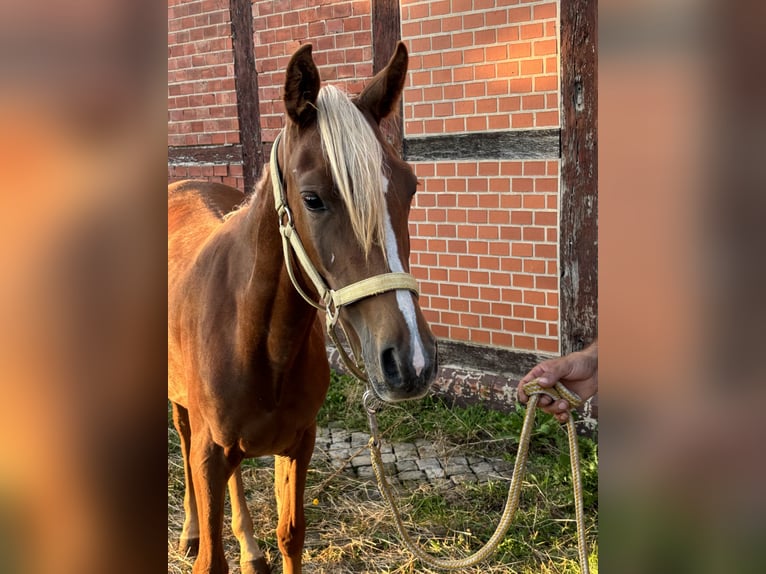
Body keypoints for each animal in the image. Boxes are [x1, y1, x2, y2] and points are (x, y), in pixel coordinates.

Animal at [168, 42, 438, 572]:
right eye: (312, 199)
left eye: (410, 186)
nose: (411, 362)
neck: (253, 339)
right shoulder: (210, 452)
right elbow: (211, 556)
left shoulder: (298, 444)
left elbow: (290, 534)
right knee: (184, 440)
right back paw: (189, 531)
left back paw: (251, 550)